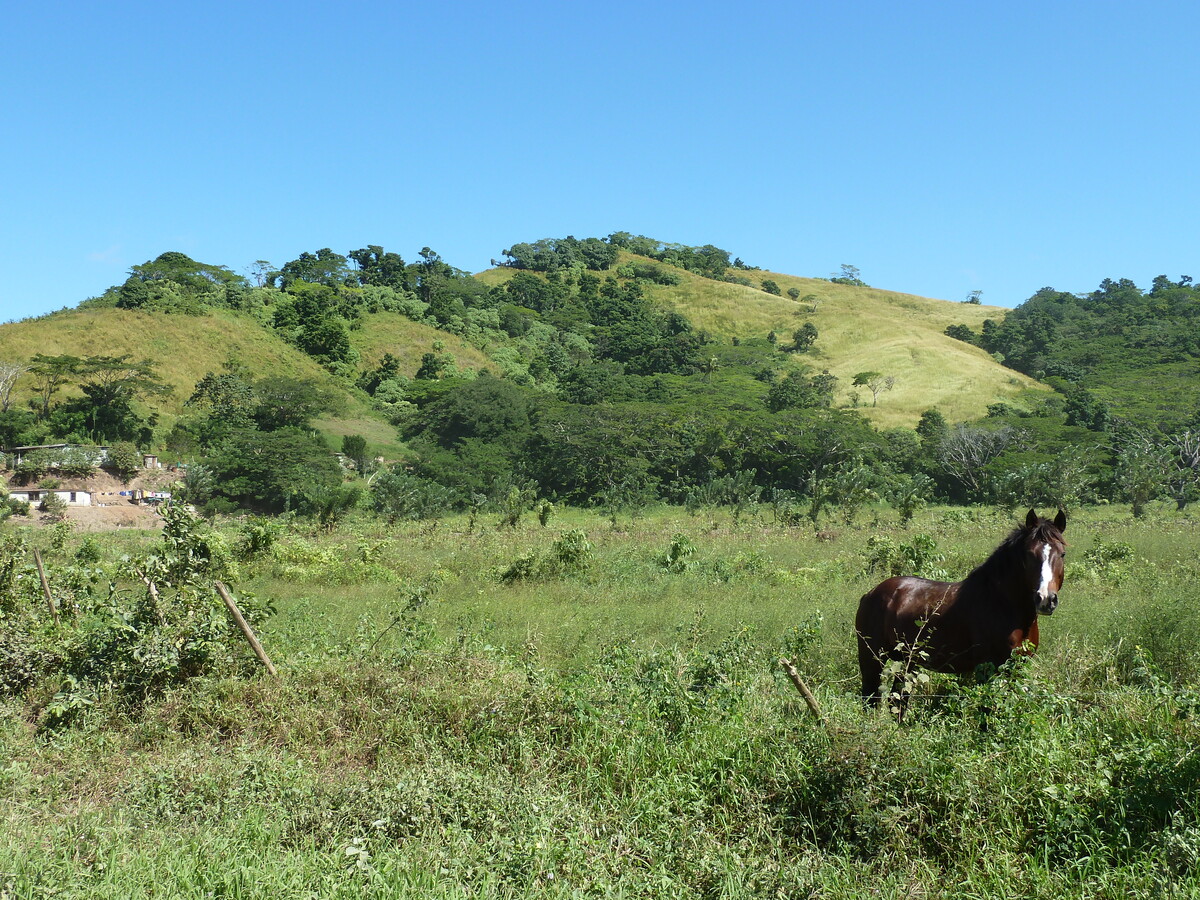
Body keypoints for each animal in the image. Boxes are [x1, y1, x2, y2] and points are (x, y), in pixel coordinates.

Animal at [854, 511, 1070, 710]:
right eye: (1029, 554)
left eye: (1062, 554)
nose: (1046, 599)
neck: (1001, 603)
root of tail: (871, 594)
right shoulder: (988, 669)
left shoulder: (1017, 667)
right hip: (872, 659)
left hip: (907, 662)